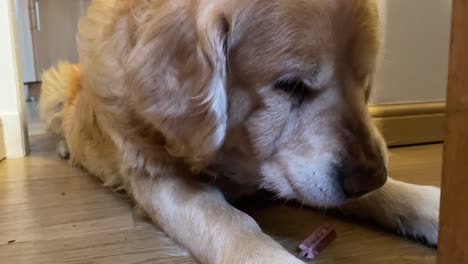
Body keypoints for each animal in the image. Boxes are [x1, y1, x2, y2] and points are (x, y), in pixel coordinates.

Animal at [38, 0, 440, 262]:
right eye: (290, 85)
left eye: (363, 81)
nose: (372, 176)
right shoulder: (160, 176)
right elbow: (234, 225)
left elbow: (382, 193)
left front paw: (431, 205)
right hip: (53, 88)